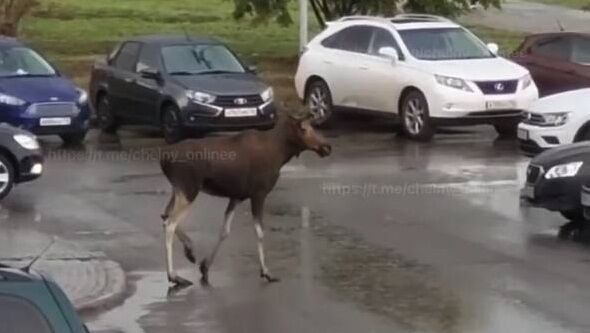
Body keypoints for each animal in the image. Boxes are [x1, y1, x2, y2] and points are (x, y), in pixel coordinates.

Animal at [160, 114, 332, 286]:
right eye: (304, 129)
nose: (327, 146)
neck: (280, 154)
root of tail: (163, 160)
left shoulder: (237, 196)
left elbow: (224, 231)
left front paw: (205, 266)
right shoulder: (259, 193)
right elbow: (259, 232)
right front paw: (266, 272)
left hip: (179, 191)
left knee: (165, 216)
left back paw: (189, 250)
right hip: (189, 190)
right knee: (170, 224)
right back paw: (173, 275)